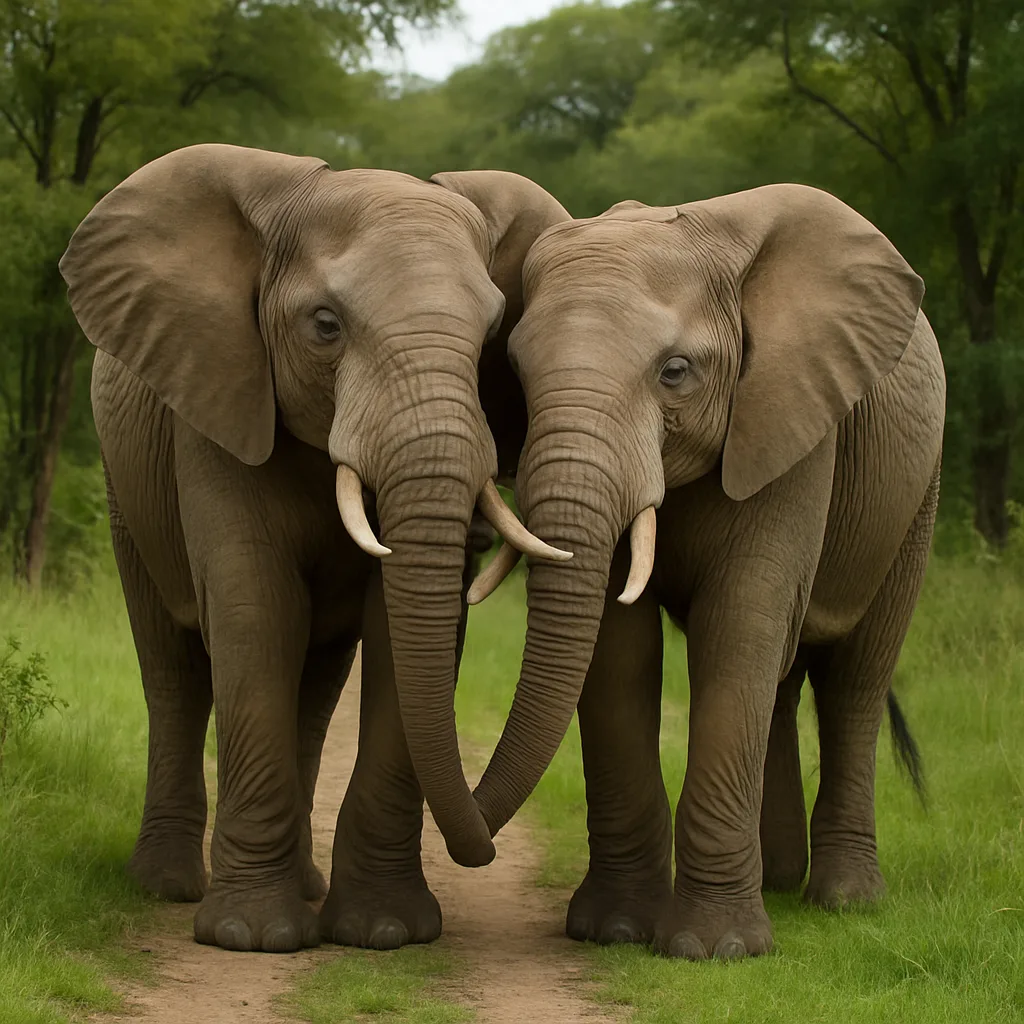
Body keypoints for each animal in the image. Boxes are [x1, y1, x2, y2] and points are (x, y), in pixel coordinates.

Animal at [58, 144, 571, 953]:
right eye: (325, 326)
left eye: (493, 335)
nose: (481, 848)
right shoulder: (218, 398)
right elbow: (255, 610)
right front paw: (251, 936)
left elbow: (397, 632)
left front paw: (383, 931)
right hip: (124, 487)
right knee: (173, 672)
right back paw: (167, 887)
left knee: (315, 689)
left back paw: (303, 887)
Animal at [466, 185, 945, 959]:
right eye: (515, 368)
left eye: (676, 372)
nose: (474, 847)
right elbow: (620, 650)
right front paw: (615, 932)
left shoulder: (789, 419)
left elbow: (738, 623)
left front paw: (714, 950)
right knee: (780, 680)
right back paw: (778, 881)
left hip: (916, 494)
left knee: (854, 680)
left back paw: (844, 901)